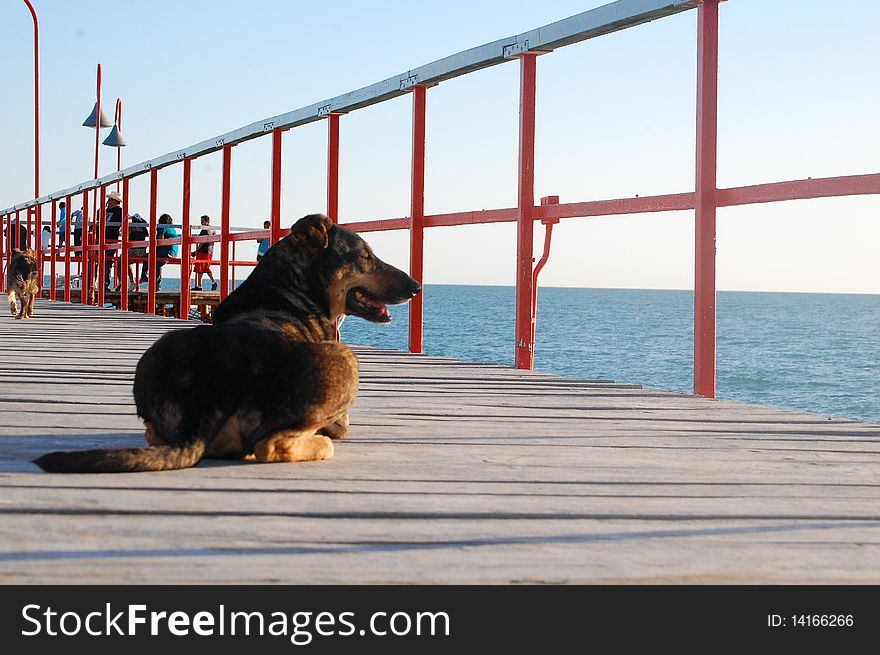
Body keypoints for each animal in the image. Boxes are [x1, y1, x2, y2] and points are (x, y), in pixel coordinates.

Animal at [34, 215, 420, 472]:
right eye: (365, 256)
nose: (417, 287)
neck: (287, 287)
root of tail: (211, 389)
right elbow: (338, 427)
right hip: (345, 359)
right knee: (270, 445)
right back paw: (318, 444)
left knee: (153, 435)